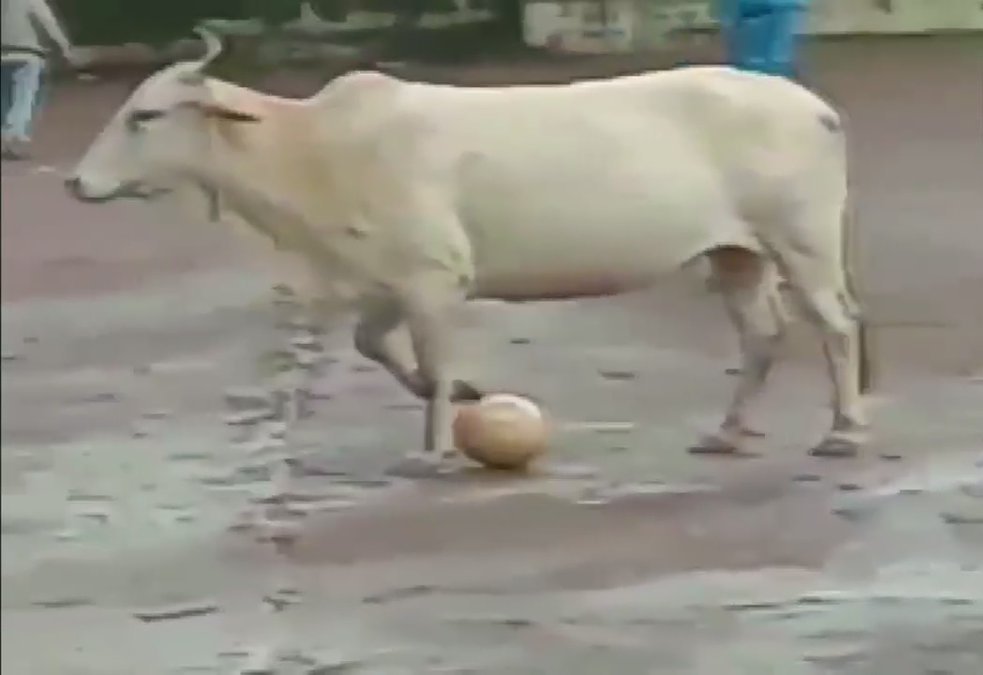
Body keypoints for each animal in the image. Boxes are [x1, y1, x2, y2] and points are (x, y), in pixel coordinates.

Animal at [65, 27, 872, 470]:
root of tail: (815, 107)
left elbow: (433, 357)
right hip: (737, 253)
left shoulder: (432, 278)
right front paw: (470, 399)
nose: (77, 181)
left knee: (833, 325)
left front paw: (434, 447)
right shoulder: (382, 283)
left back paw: (843, 432)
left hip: (800, 240)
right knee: (763, 333)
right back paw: (728, 432)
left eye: (146, 115)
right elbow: (380, 349)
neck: (313, 148)